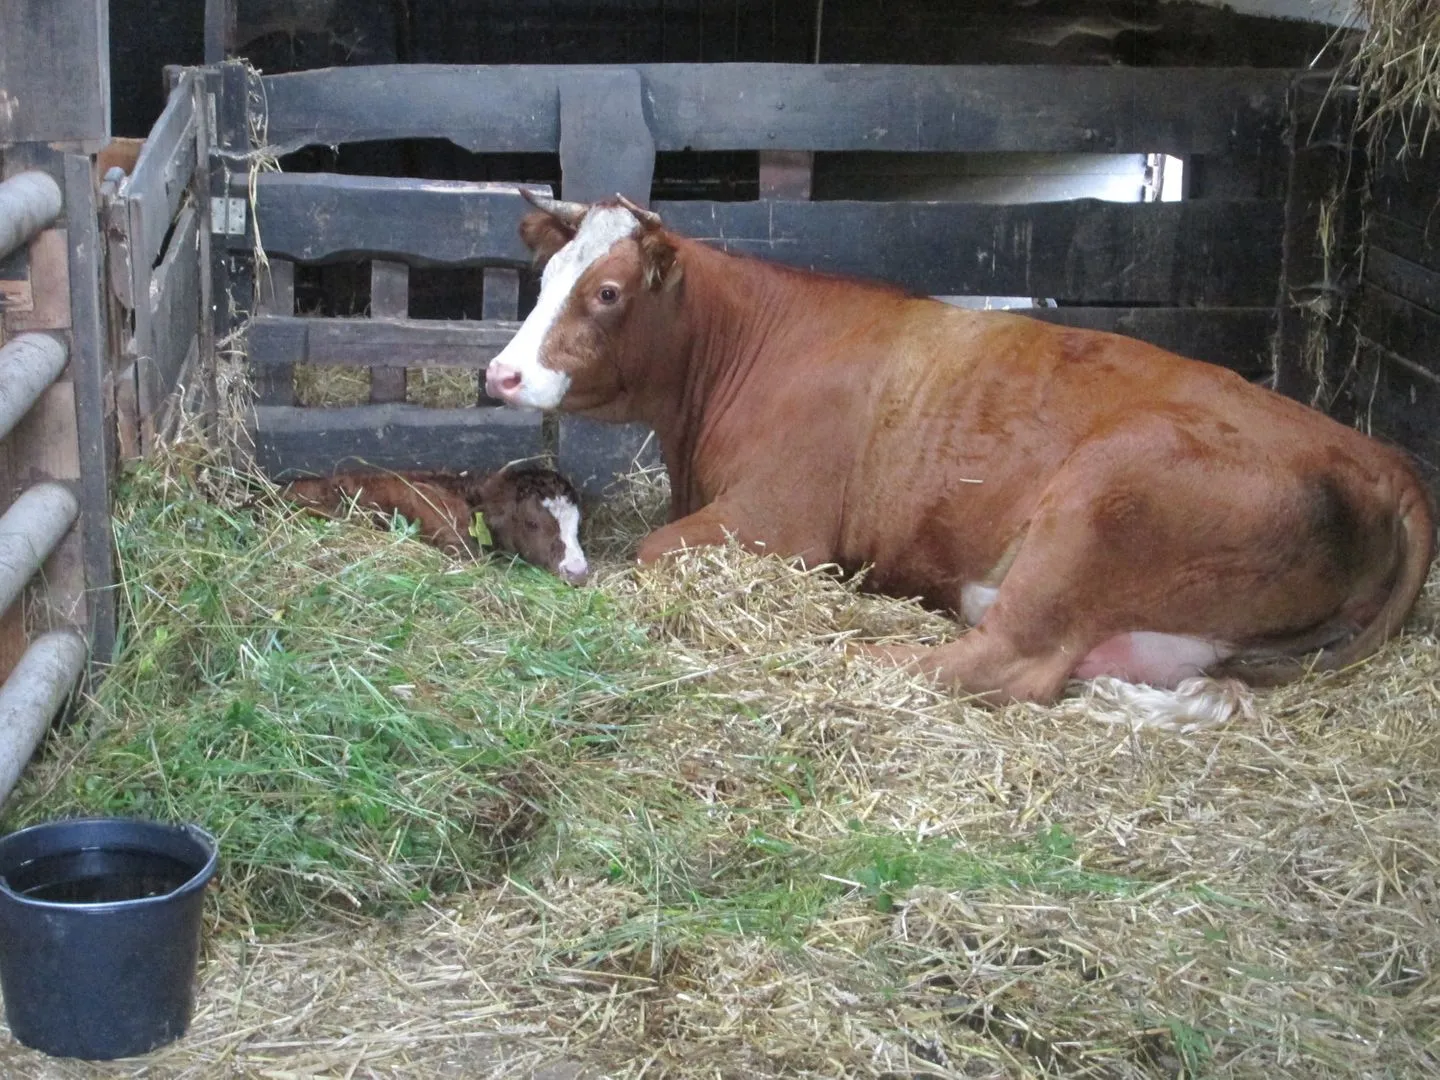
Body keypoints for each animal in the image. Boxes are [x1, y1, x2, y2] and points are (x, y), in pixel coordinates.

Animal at [483, 192, 1435, 718]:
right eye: (545, 279)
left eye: (607, 292)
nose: (500, 373)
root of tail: (1381, 458)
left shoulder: (779, 522)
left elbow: (651, 550)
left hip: (1097, 505)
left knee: (1003, 662)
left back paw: (854, 658)